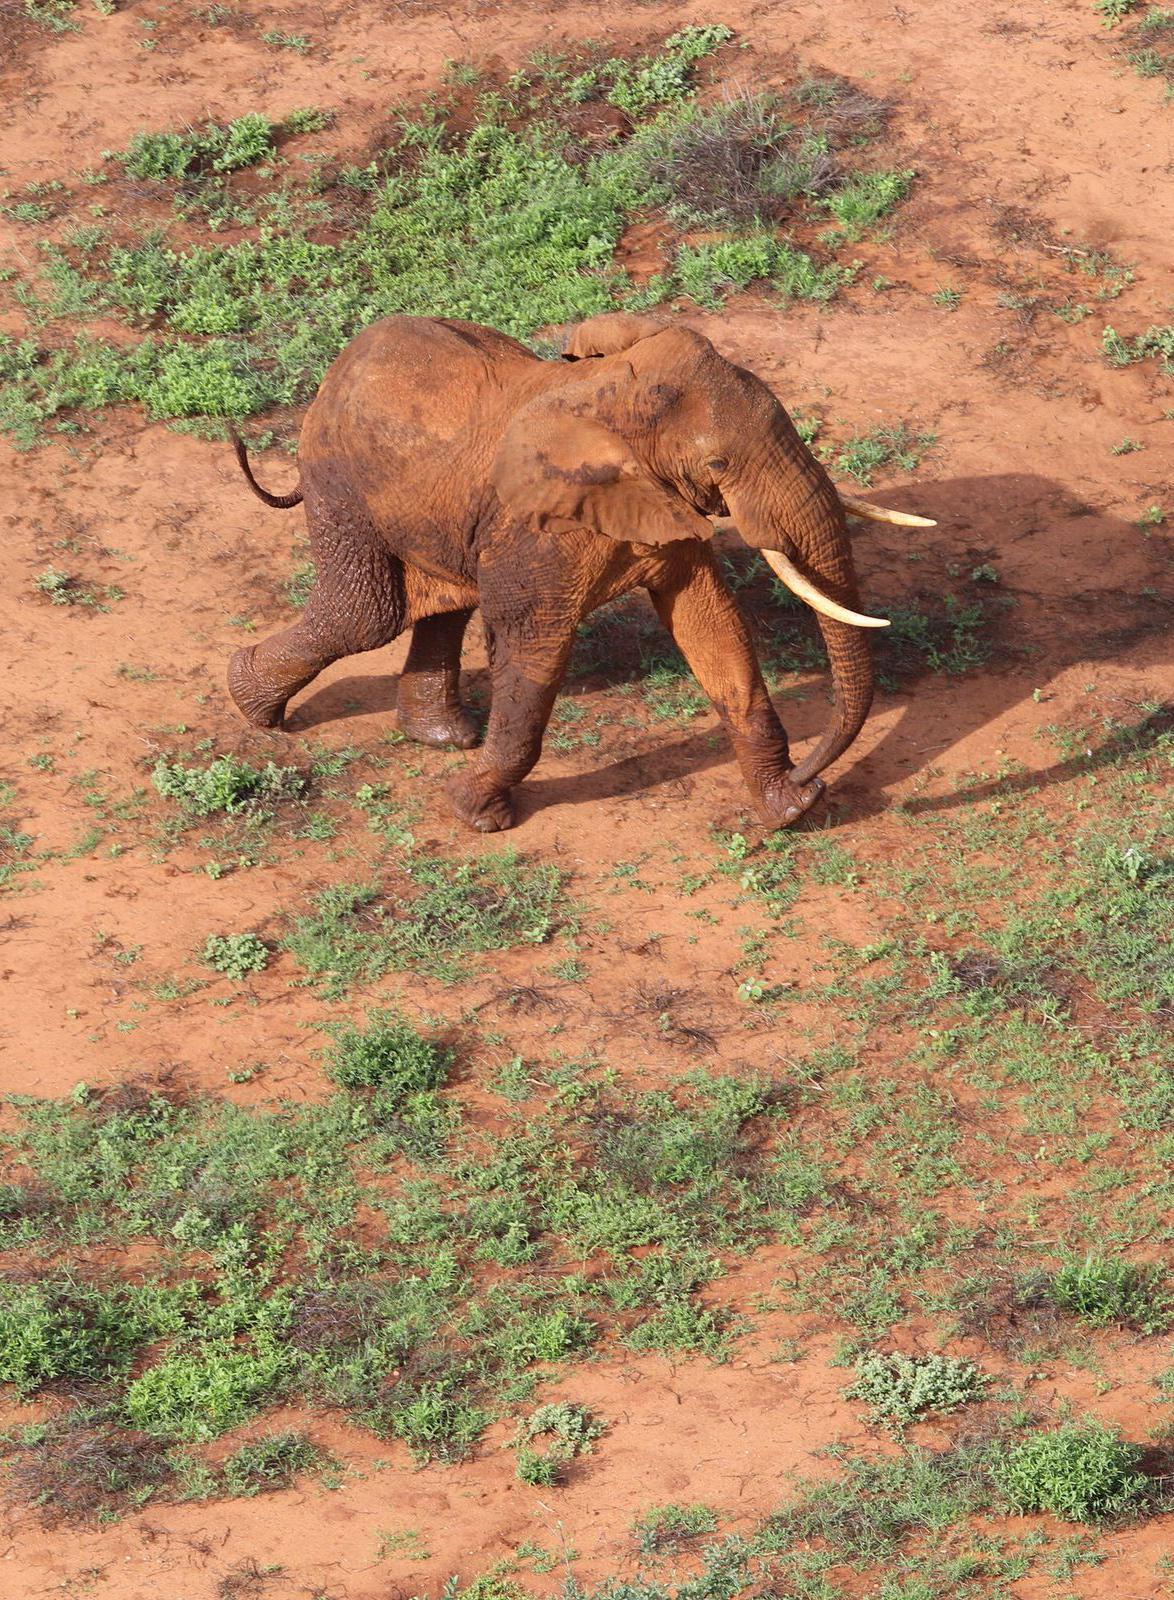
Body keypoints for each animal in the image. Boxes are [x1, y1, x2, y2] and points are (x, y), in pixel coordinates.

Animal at [227, 312, 932, 833]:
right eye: (719, 463)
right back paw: (252, 705)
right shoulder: (539, 525)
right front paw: (476, 813)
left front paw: (787, 810)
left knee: (443, 602)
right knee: (366, 615)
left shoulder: (661, 505)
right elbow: (534, 650)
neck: (610, 394)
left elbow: (713, 628)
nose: (815, 774)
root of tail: (341, 361)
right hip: (339, 480)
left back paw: (441, 736)